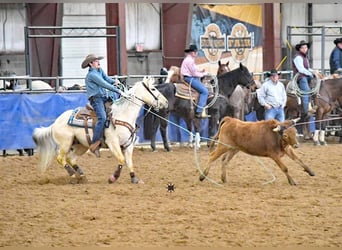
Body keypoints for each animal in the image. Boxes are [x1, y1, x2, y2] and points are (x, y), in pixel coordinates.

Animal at [32, 77, 169, 185]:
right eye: (153, 89)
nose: (166, 102)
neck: (123, 115)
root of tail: (55, 123)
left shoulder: (128, 145)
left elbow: (130, 163)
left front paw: (134, 179)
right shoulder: (113, 143)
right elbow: (121, 160)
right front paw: (113, 178)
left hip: (81, 145)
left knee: (71, 158)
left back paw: (81, 175)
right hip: (65, 143)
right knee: (61, 158)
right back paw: (73, 175)